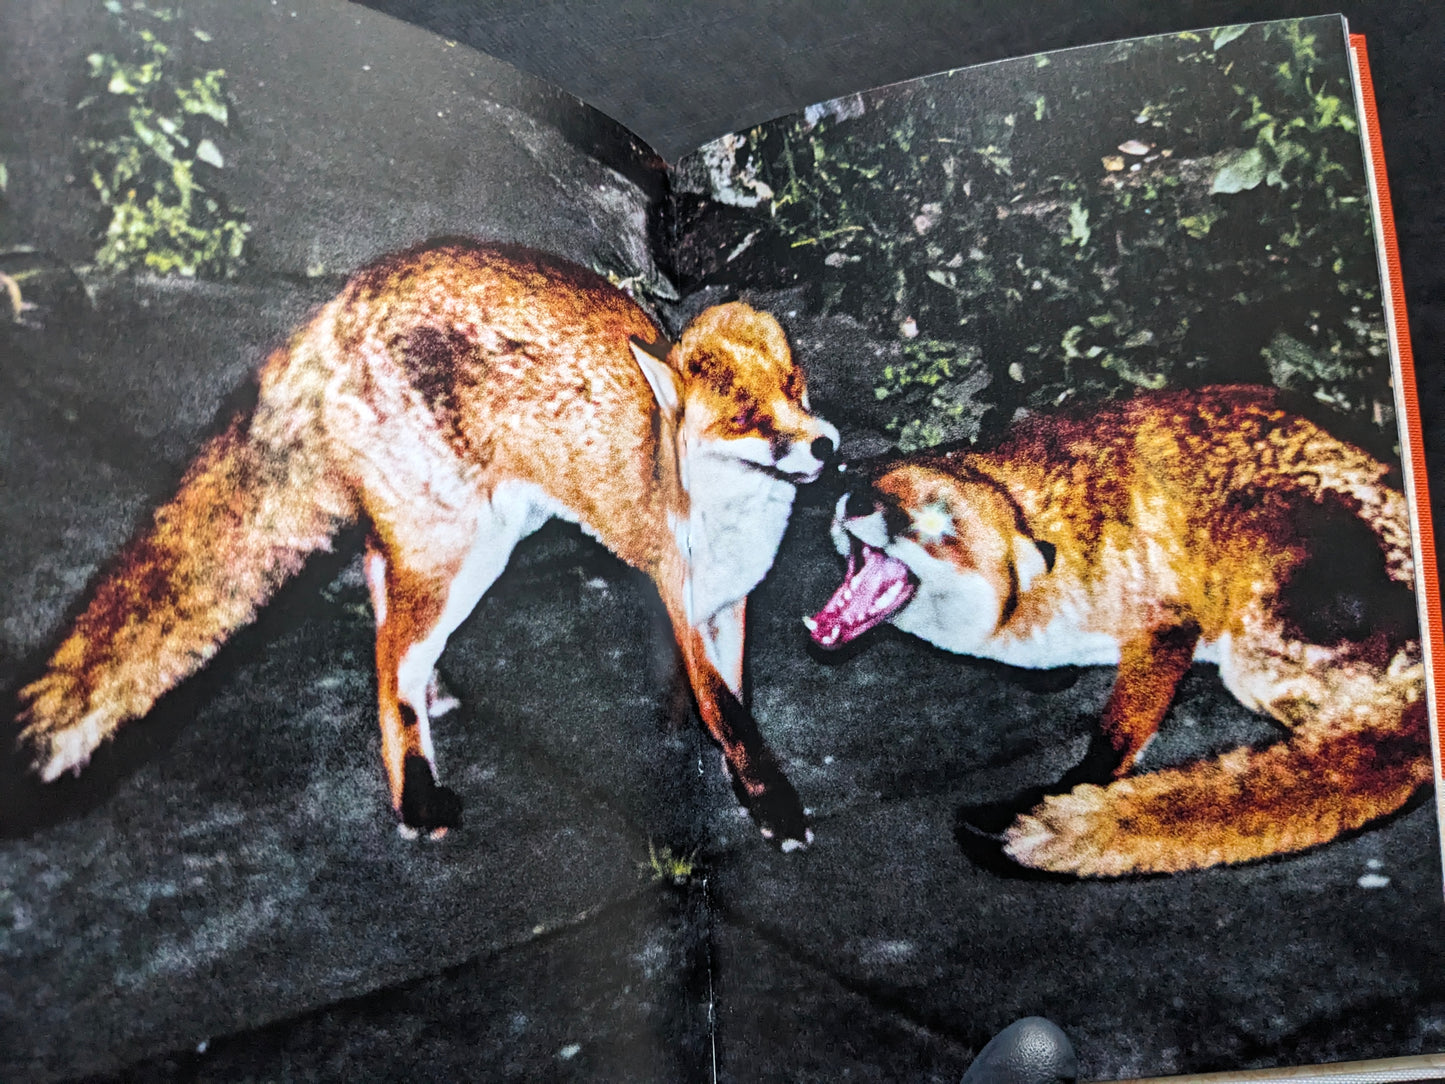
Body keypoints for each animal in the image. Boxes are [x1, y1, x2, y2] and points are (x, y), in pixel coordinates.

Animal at [14, 238, 839, 848]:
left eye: (796, 387)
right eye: (746, 419)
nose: (826, 446)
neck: (729, 516)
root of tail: (342, 301)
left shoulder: (730, 603)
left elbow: (730, 700)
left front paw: (724, 765)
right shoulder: (684, 595)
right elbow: (730, 714)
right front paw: (771, 803)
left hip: (472, 533)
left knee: (381, 591)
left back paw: (431, 693)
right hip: (464, 550)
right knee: (388, 664)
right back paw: (415, 798)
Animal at [807, 385, 1430, 876]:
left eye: (935, 525)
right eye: (871, 487)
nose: (851, 498)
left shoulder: (1167, 622)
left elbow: (1112, 741)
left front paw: (1075, 787)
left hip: (1253, 647)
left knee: (1343, 746)